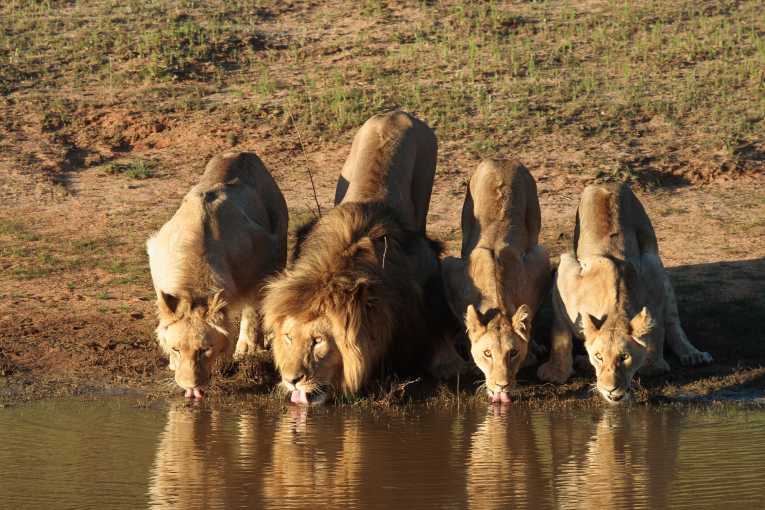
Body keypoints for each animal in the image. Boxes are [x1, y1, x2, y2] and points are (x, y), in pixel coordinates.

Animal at [147, 151, 288, 398]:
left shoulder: (262, 259)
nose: (191, 387)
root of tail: (243, 153)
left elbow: (251, 311)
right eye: (176, 349)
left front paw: (247, 349)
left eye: (205, 350)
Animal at [442, 159, 551, 404]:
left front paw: (530, 348)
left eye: (513, 353)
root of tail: (503, 159)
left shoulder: (540, 263)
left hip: (535, 223)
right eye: (487, 354)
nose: (502, 386)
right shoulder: (450, 270)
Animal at [536, 183, 712, 403]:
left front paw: (653, 363)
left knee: (673, 320)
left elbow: (657, 334)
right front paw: (556, 372)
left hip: (652, 253)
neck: (615, 309)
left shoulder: (652, 275)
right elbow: (560, 335)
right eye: (599, 356)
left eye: (624, 357)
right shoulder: (565, 272)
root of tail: (609, 183)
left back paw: (692, 354)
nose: (610, 389)